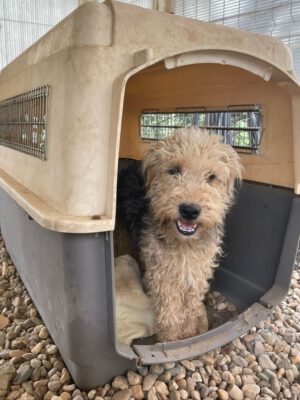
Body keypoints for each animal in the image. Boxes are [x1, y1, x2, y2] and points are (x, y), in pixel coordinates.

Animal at [116, 127, 243, 340]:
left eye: (211, 177)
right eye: (174, 170)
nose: (190, 210)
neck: (185, 244)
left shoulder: (196, 271)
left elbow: (191, 307)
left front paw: (189, 334)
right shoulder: (163, 275)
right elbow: (169, 312)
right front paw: (170, 340)